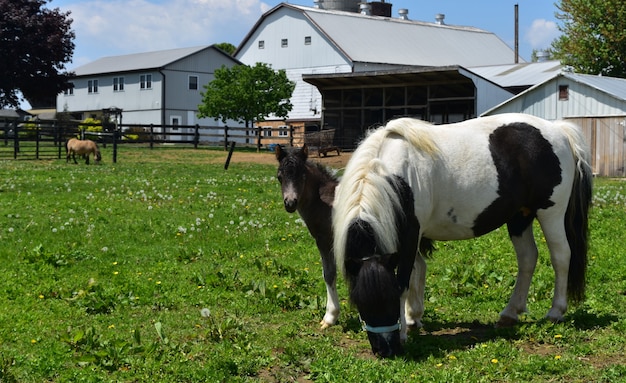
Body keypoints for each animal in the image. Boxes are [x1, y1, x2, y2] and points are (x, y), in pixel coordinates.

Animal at [276, 144, 338, 330]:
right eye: (279, 177)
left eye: (302, 175)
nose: (290, 203)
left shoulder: (325, 240)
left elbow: (329, 274)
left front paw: (330, 317)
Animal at [332, 112, 588, 358]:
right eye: (359, 302)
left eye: (390, 299)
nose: (386, 350)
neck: (394, 174)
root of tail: (558, 130)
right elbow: (417, 272)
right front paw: (414, 318)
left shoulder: (410, 236)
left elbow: (405, 280)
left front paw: (405, 329)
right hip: (519, 217)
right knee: (528, 258)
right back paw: (510, 313)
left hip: (550, 212)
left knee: (561, 256)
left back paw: (555, 312)